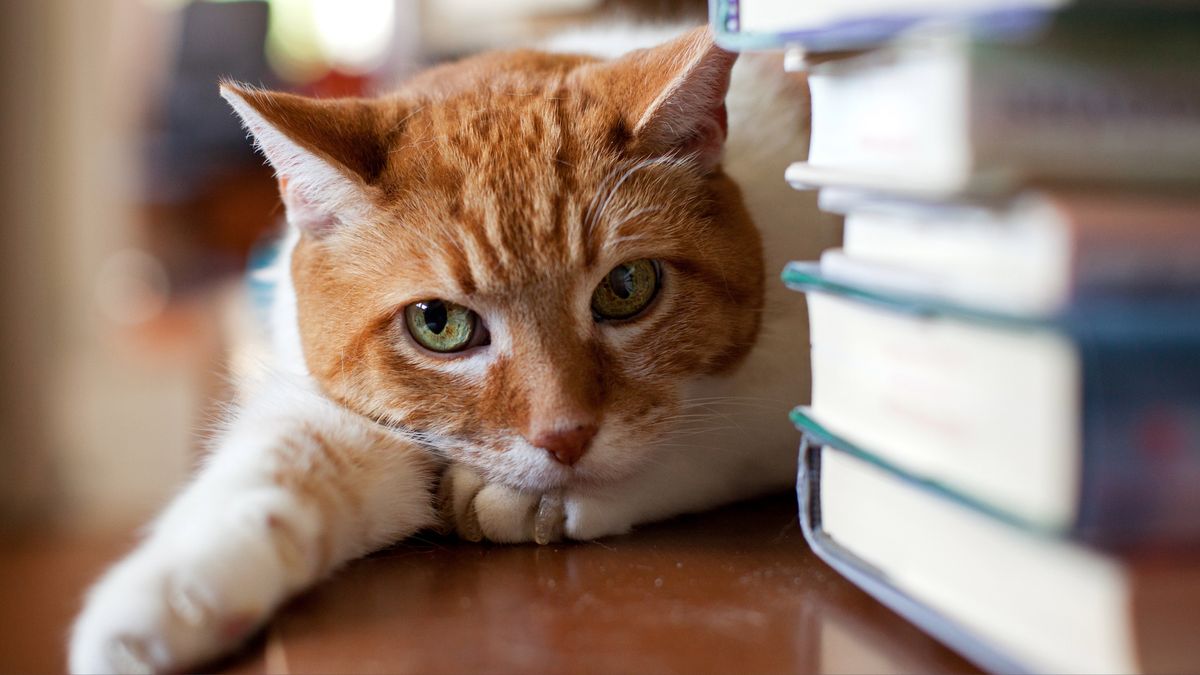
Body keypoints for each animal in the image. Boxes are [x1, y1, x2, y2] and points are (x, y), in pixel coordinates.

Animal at [70, 23, 830, 667]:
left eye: (627, 287)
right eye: (438, 323)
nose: (565, 436)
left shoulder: (792, 393)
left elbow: (711, 441)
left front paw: (531, 500)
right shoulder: (349, 409)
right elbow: (280, 463)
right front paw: (162, 601)